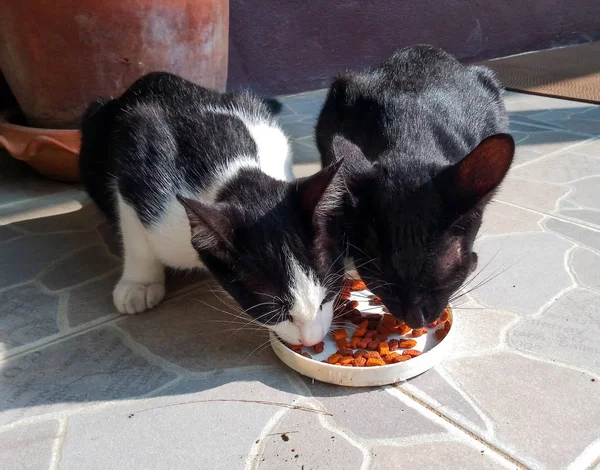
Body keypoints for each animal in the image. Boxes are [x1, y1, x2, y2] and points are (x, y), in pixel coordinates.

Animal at [80, 72, 344, 346]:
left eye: (328, 294)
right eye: (275, 311)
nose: (313, 340)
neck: (233, 173)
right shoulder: (138, 164)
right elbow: (133, 229)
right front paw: (138, 283)